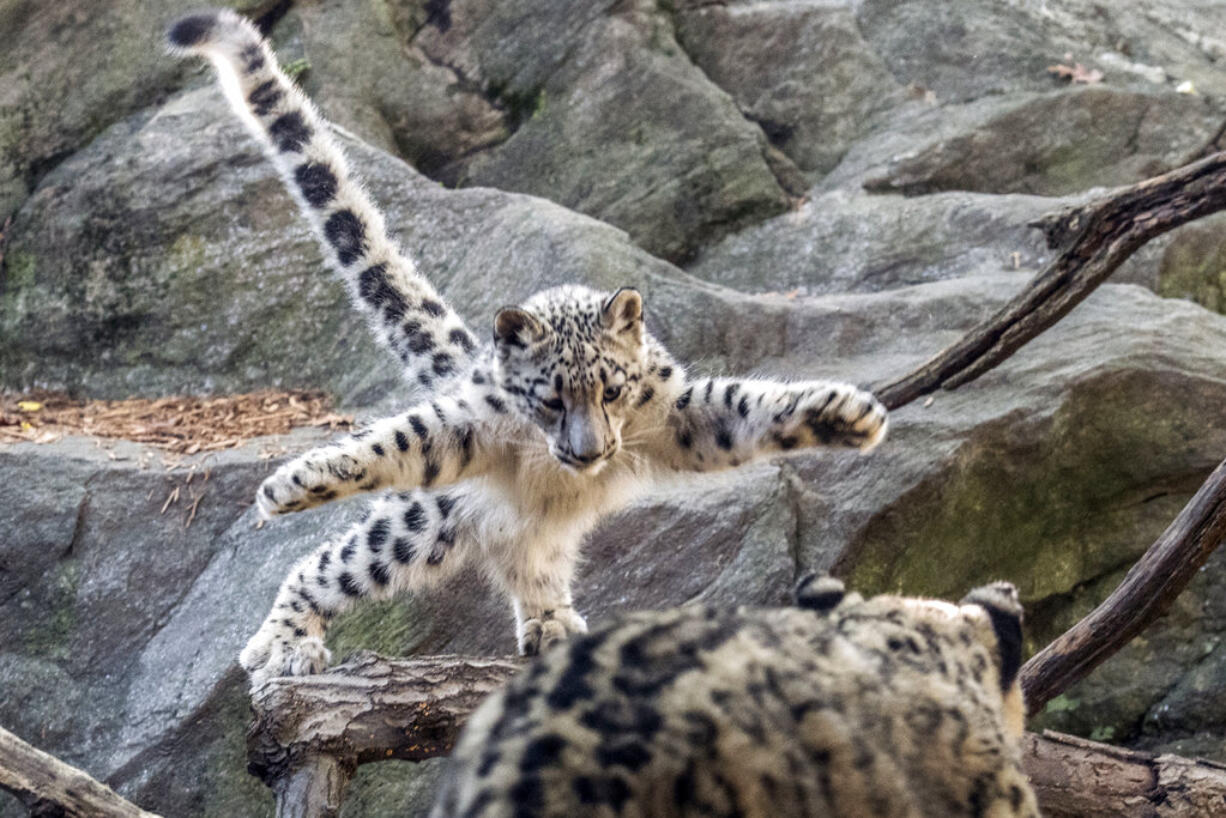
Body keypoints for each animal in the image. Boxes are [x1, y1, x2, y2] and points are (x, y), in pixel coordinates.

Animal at [167, 11, 887, 691]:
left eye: (613, 391)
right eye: (549, 400)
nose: (589, 453)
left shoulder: (678, 413)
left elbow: (744, 407)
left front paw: (848, 415)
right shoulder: (467, 427)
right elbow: (399, 440)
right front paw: (291, 483)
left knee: (526, 565)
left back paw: (553, 623)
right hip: (424, 521)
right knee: (328, 564)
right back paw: (285, 644)